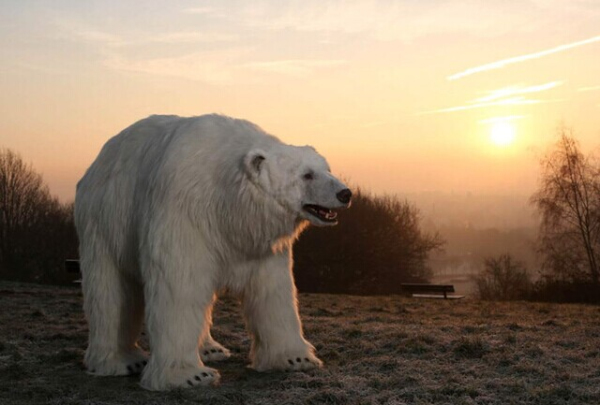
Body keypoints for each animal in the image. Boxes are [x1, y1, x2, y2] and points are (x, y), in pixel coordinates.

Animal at [74, 113, 352, 388]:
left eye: (326, 169)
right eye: (307, 175)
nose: (345, 193)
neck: (227, 200)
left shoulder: (255, 242)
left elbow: (272, 290)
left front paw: (295, 359)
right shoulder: (184, 211)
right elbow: (180, 287)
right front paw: (191, 376)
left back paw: (211, 349)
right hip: (105, 221)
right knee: (109, 292)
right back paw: (120, 362)